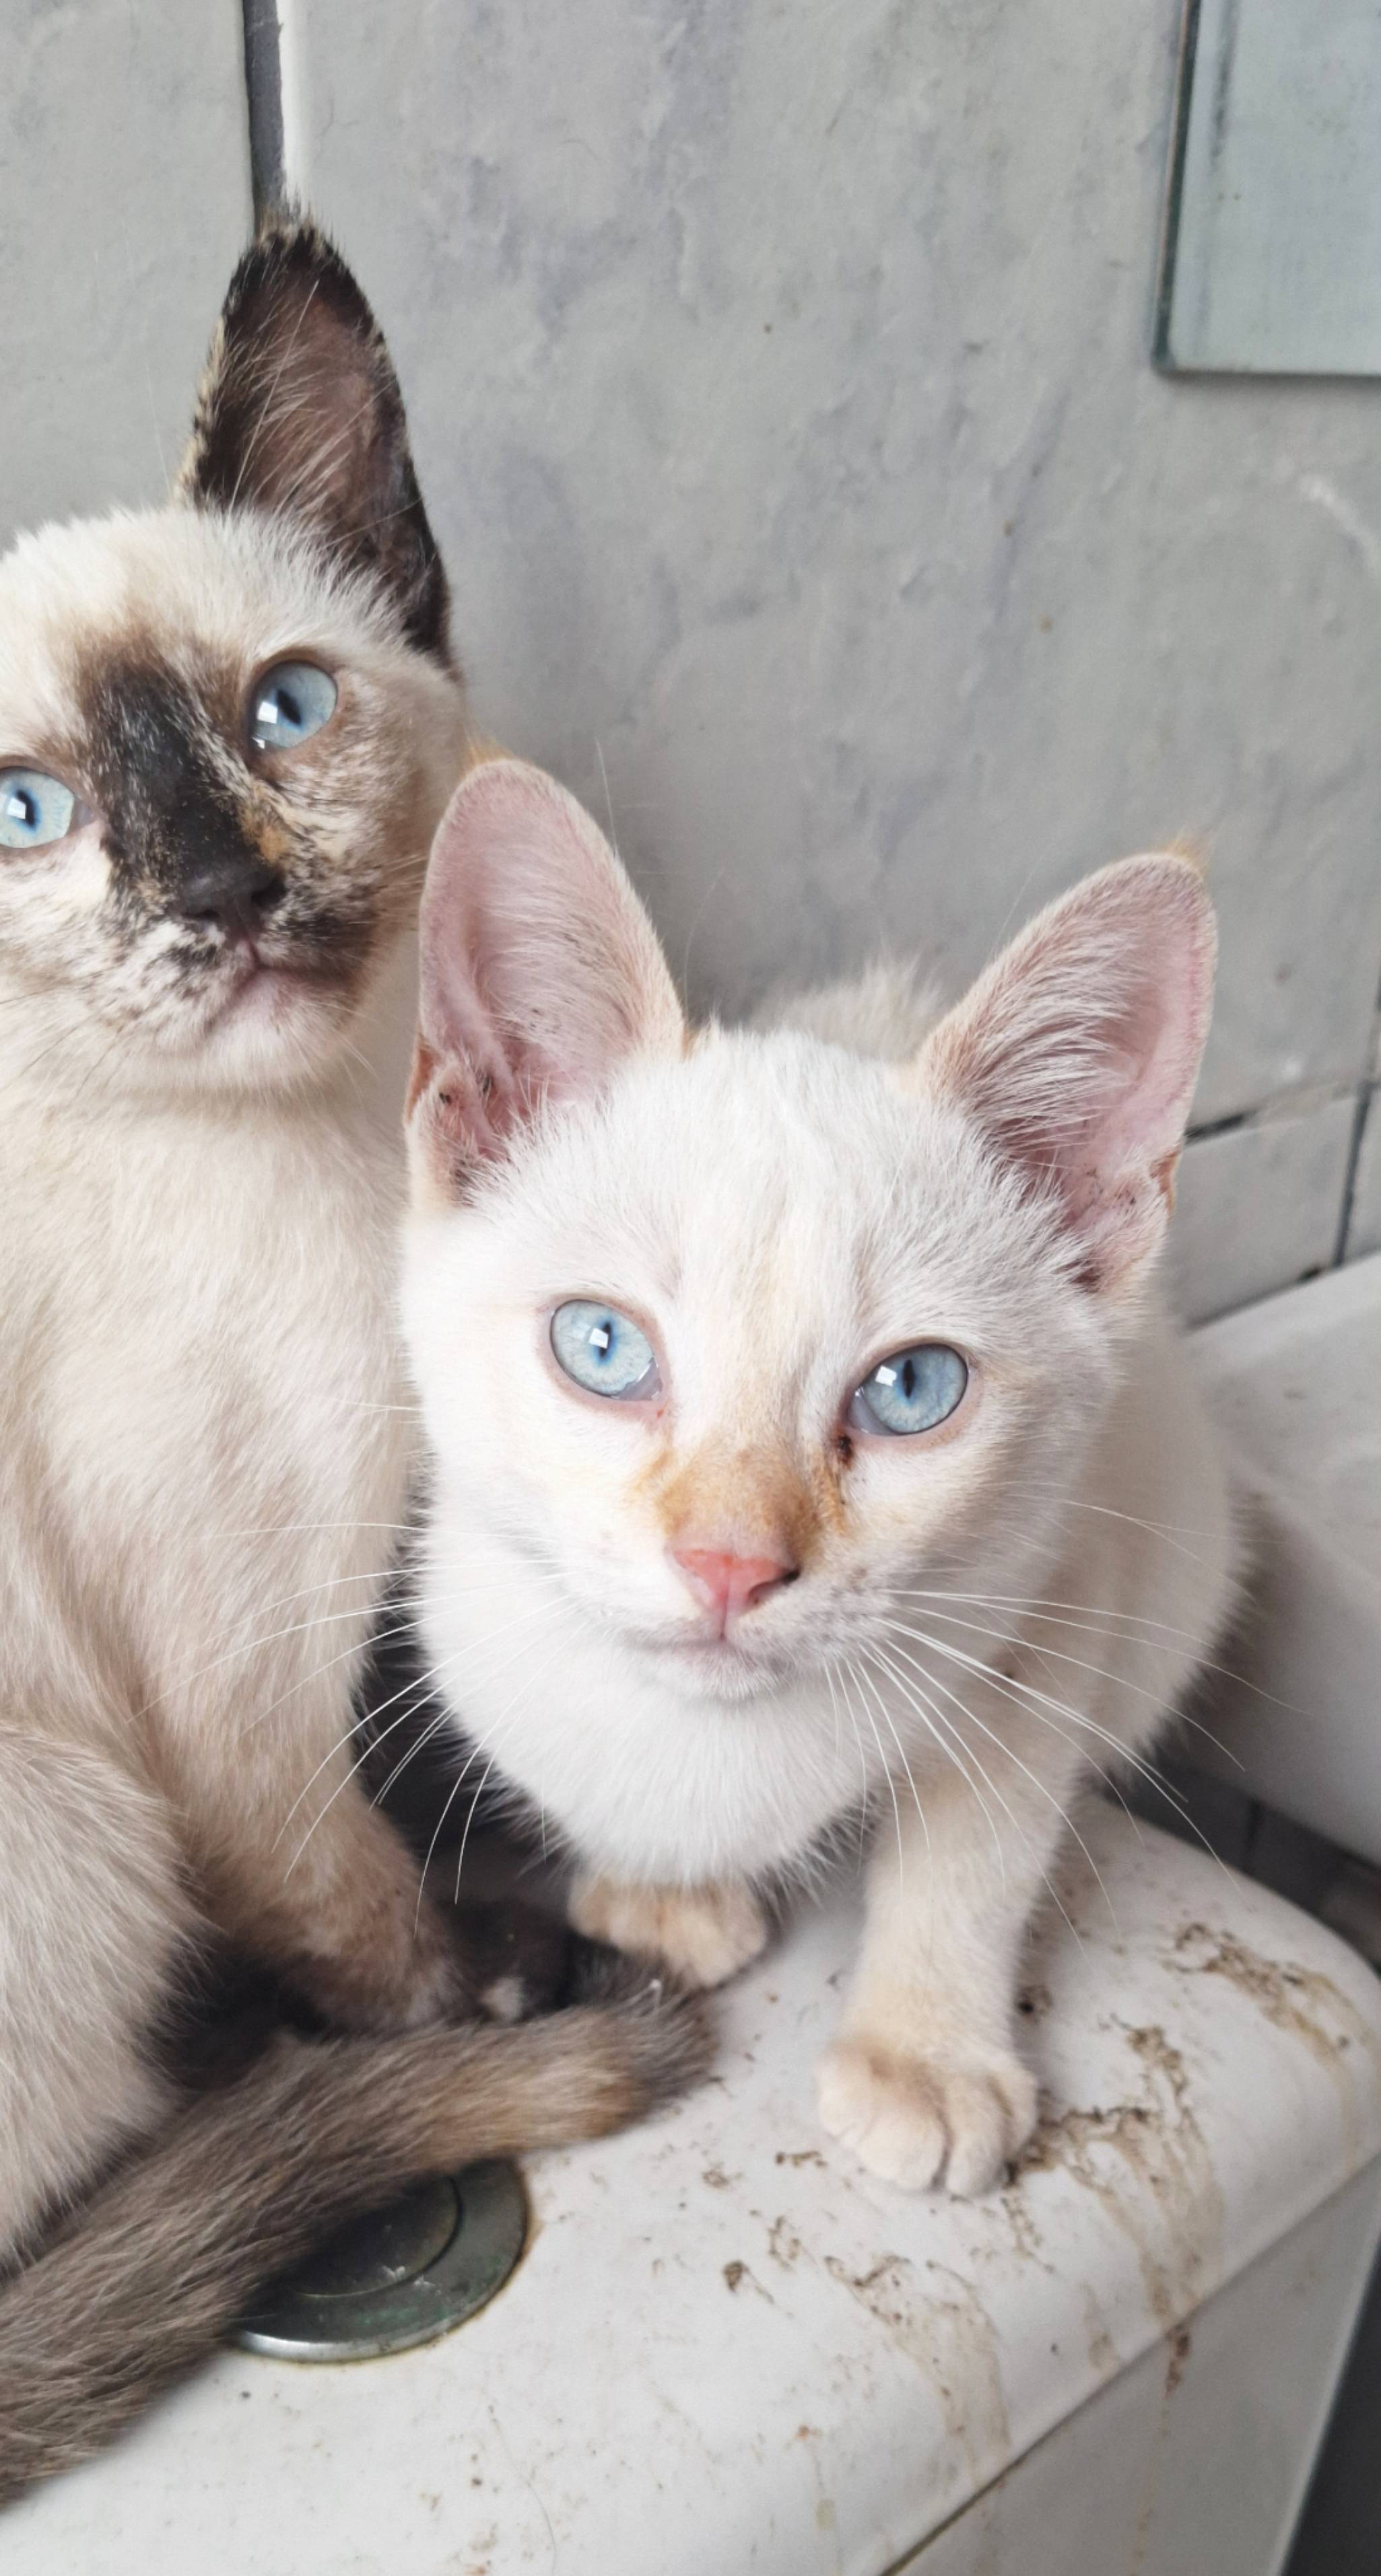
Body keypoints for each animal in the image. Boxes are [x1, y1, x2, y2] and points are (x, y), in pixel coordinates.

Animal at [0, 229, 705, 2502]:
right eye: (27, 813)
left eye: (283, 712)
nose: (223, 898)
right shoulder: (223, 1677)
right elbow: (347, 1901)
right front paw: (477, 1991)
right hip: (75, 1818)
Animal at [401, 755, 1240, 2197]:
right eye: (603, 1346)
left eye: (911, 1391)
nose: (729, 1565)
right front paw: (658, 1887)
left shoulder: (1067, 1584)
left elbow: (975, 1839)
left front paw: (924, 2054)